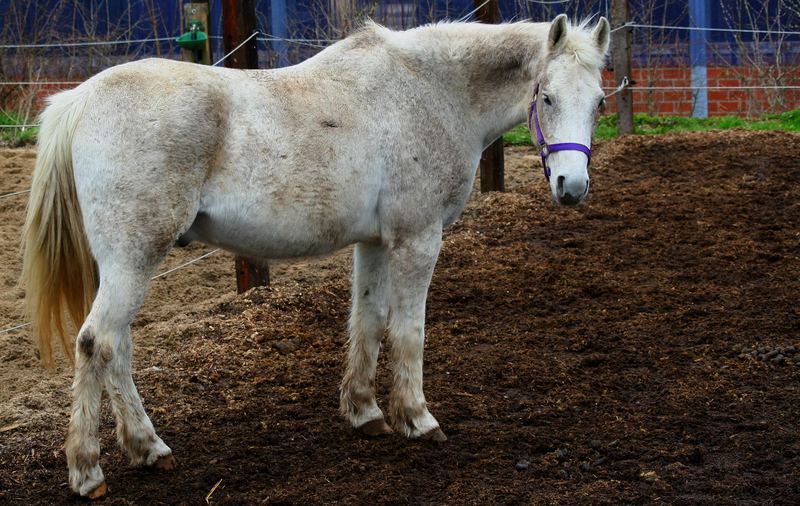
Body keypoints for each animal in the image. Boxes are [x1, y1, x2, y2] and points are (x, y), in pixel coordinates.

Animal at [20, 14, 608, 498]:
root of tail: (81, 99)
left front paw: (365, 412)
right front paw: (417, 419)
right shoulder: (417, 239)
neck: (428, 91)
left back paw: (148, 448)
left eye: (599, 101)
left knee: (117, 348)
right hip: (134, 258)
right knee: (96, 343)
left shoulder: (374, 243)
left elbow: (368, 322)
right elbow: (408, 331)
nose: (572, 187)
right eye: (547, 96)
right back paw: (87, 471)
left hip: (126, 263)